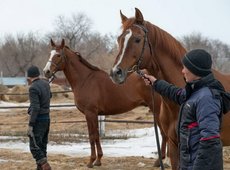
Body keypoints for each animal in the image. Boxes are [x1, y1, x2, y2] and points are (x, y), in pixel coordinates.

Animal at [43, 39, 167, 168]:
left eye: (58, 55)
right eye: (50, 53)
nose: (46, 72)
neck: (85, 79)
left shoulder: (90, 113)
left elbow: (92, 136)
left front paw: (91, 161)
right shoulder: (94, 114)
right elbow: (96, 135)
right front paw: (98, 160)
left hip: (156, 110)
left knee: (164, 133)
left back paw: (160, 161)